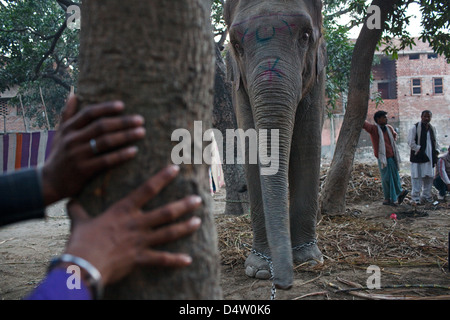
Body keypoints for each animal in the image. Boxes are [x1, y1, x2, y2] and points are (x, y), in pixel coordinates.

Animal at [225, 0, 326, 290]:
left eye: (306, 35)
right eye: (237, 44)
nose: (281, 283)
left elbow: (308, 145)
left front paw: (309, 260)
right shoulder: (238, 87)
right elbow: (251, 148)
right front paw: (258, 269)